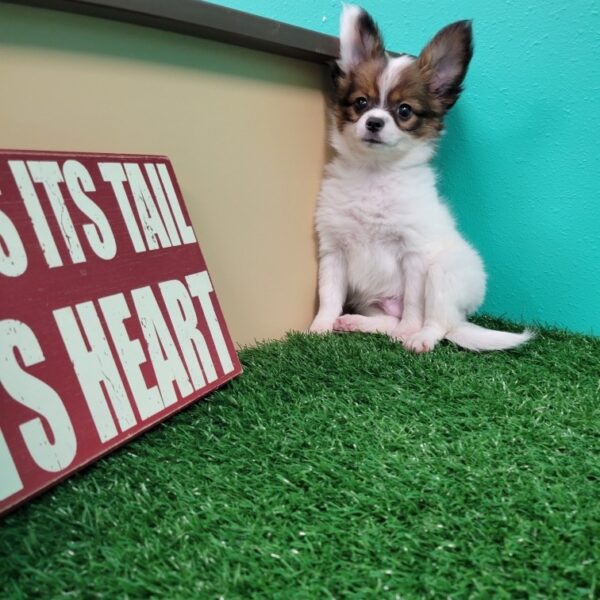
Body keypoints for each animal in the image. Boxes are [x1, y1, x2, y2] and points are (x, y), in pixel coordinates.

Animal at [312, 4, 532, 352]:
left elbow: (414, 305)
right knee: (389, 320)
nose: (374, 122)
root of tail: (461, 318)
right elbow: (329, 294)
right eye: (361, 103)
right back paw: (355, 322)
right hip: (371, 300)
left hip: (443, 275)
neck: (375, 173)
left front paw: (409, 331)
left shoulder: (414, 254)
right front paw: (320, 326)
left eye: (404, 111)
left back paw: (418, 339)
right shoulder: (334, 250)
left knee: (438, 323)